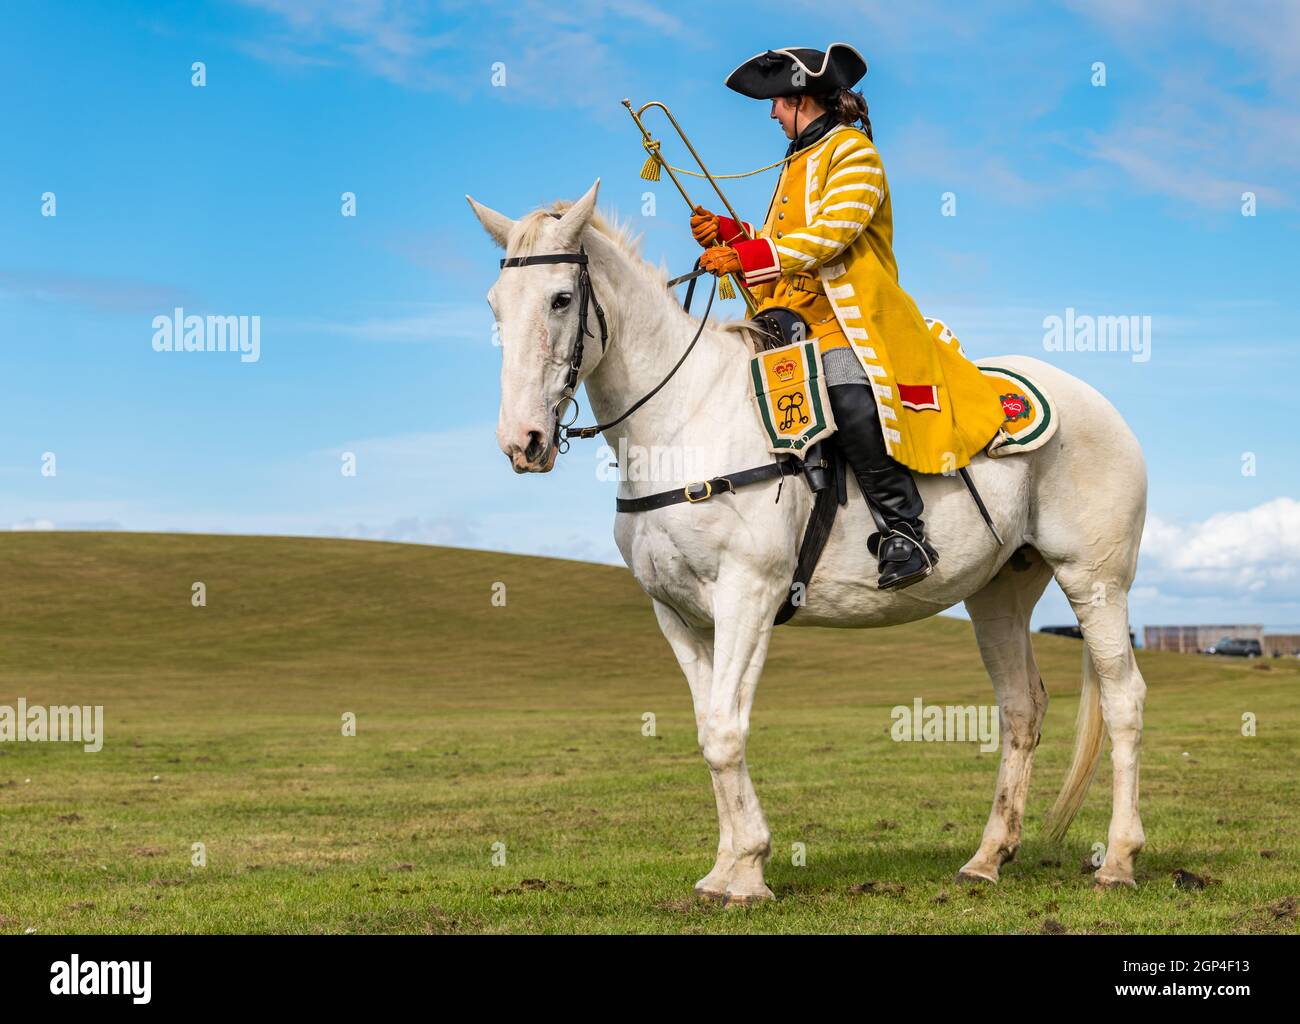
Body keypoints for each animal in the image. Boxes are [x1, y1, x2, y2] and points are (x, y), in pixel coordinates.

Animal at [467, 181, 1149, 904]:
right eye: (495, 305)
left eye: (561, 299)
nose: (522, 442)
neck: (683, 419)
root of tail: (1093, 402)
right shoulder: (677, 614)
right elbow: (709, 728)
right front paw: (727, 868)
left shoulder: (749, 594)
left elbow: (726, 730)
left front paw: (747, 872)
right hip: (999, 593)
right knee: (1021, 708)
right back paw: (988, 857)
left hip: (1095, 580)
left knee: (1124, 700)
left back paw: (1118, 860)